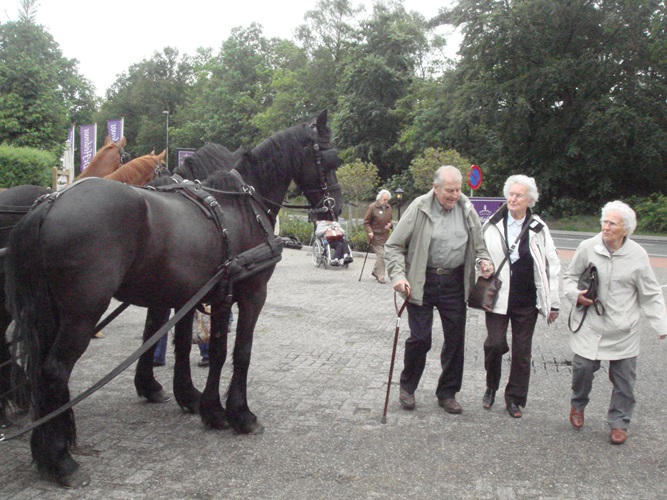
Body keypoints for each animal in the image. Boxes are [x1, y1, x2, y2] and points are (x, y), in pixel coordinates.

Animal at [3, 111, 340, 486]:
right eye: (330, 158)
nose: (335, 207)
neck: (240, 206)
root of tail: (50, 204)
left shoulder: (209, 294)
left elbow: (205, 348)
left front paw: (207, 407)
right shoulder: (252, 292)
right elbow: (239, 352)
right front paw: (240, 415)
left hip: (53, 312)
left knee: (40, 368)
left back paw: (46, 448)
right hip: (83, 313)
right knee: (54, 370)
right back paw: (61, 460)